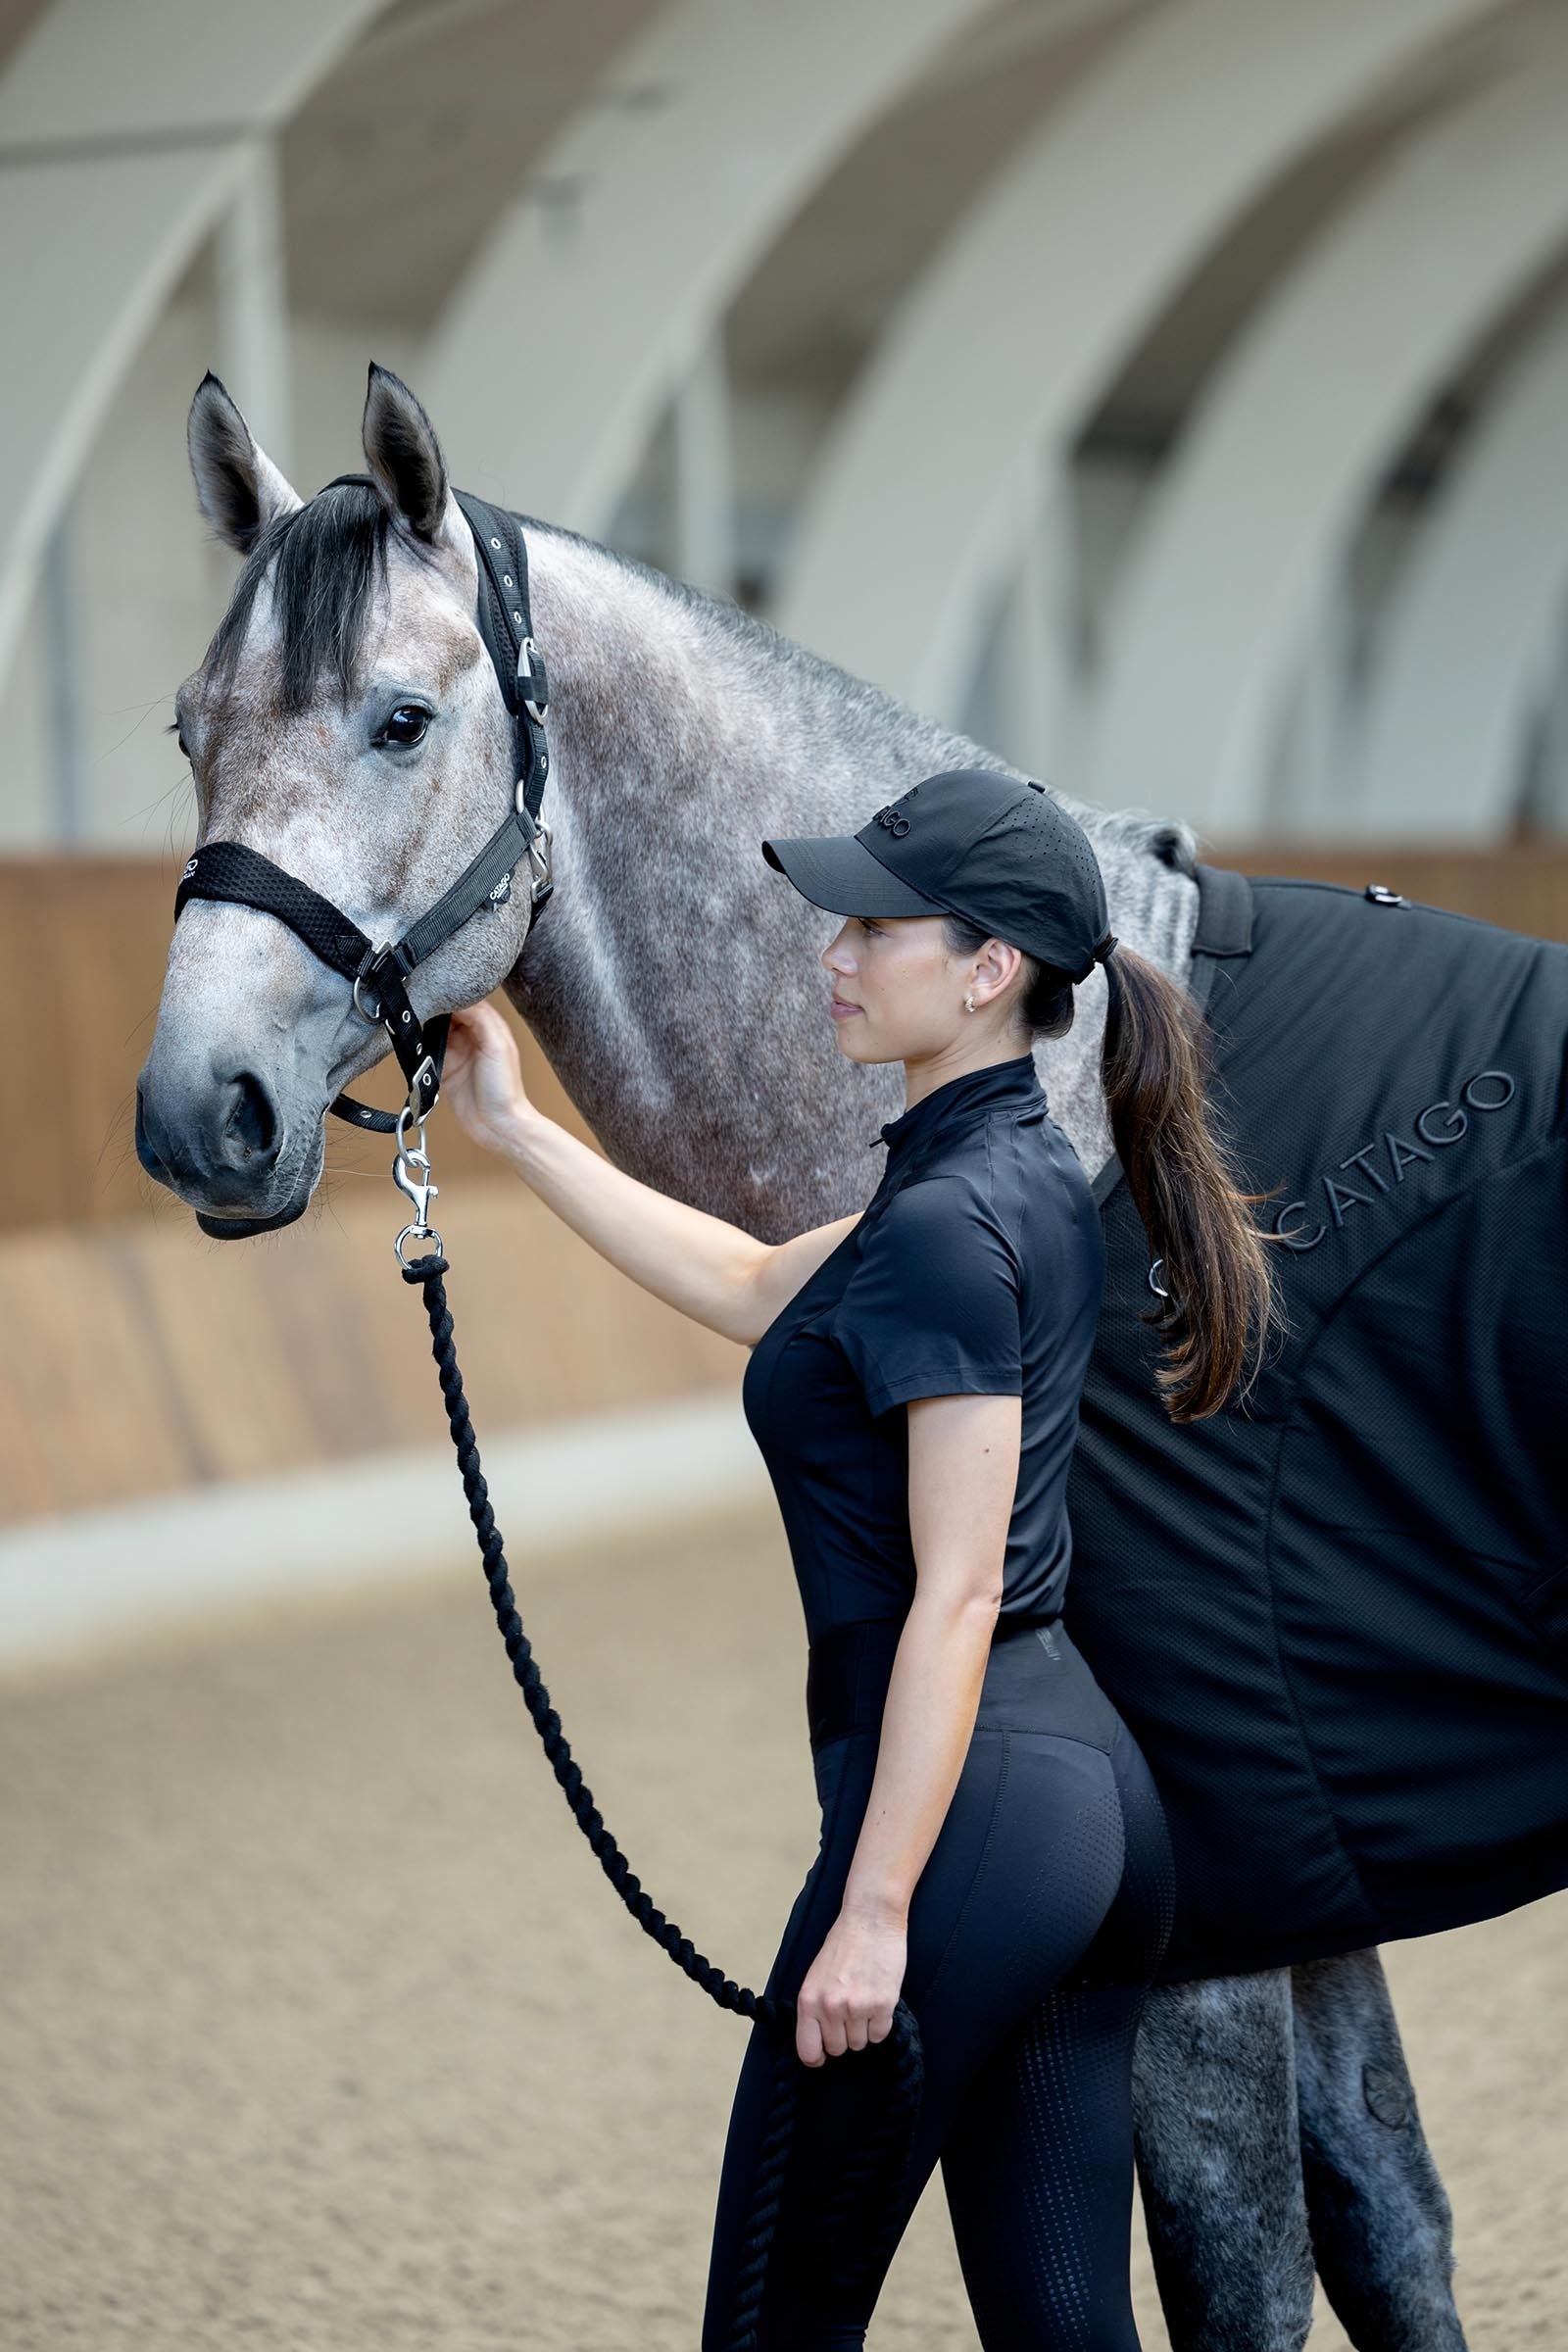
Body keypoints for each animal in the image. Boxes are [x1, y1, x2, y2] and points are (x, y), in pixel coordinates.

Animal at [134, 360, 1474, 2351]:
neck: (1076, 1096)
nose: (190, 1116)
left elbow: (1251, 2261)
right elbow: (1392, 2216)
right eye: (186, 730)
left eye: (398, 719)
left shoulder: (1213, 1938)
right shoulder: (1310, 1877)